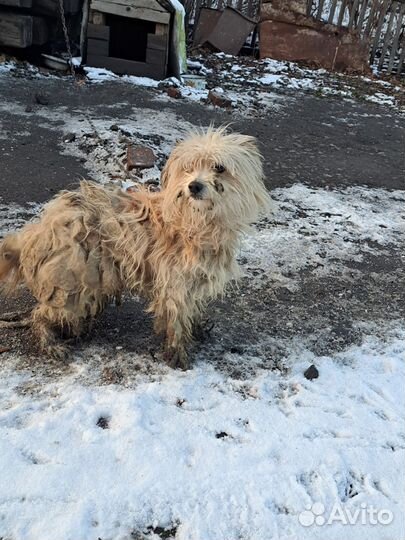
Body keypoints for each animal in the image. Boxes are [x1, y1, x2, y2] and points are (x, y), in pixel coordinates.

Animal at [0, 129, 272, 370]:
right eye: (188, 168)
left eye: (219, 168)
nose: (193, 186)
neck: (195, 222)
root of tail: (40, 228)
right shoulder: (175, 285)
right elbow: (176, 321)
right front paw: (178, 355)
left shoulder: (193, 282)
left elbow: (191, 311)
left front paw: (197, 330)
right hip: (73, 282)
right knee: (39, 315)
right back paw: (50, 342)